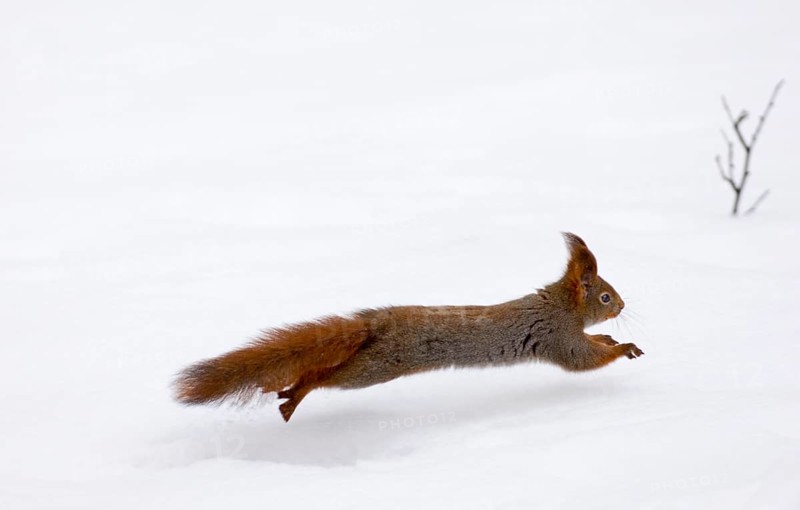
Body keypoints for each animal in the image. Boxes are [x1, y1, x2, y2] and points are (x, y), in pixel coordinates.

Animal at [174, 232, 644, 422]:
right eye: (605, 297)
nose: (622, 305)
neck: (562, 305)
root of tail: (376, 323)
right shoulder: (556, 336)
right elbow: (581, 359)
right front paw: (623, 347)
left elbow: (591, 343)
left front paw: (608, 337)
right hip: (376, 368)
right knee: (324, 377)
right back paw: (296, 395)